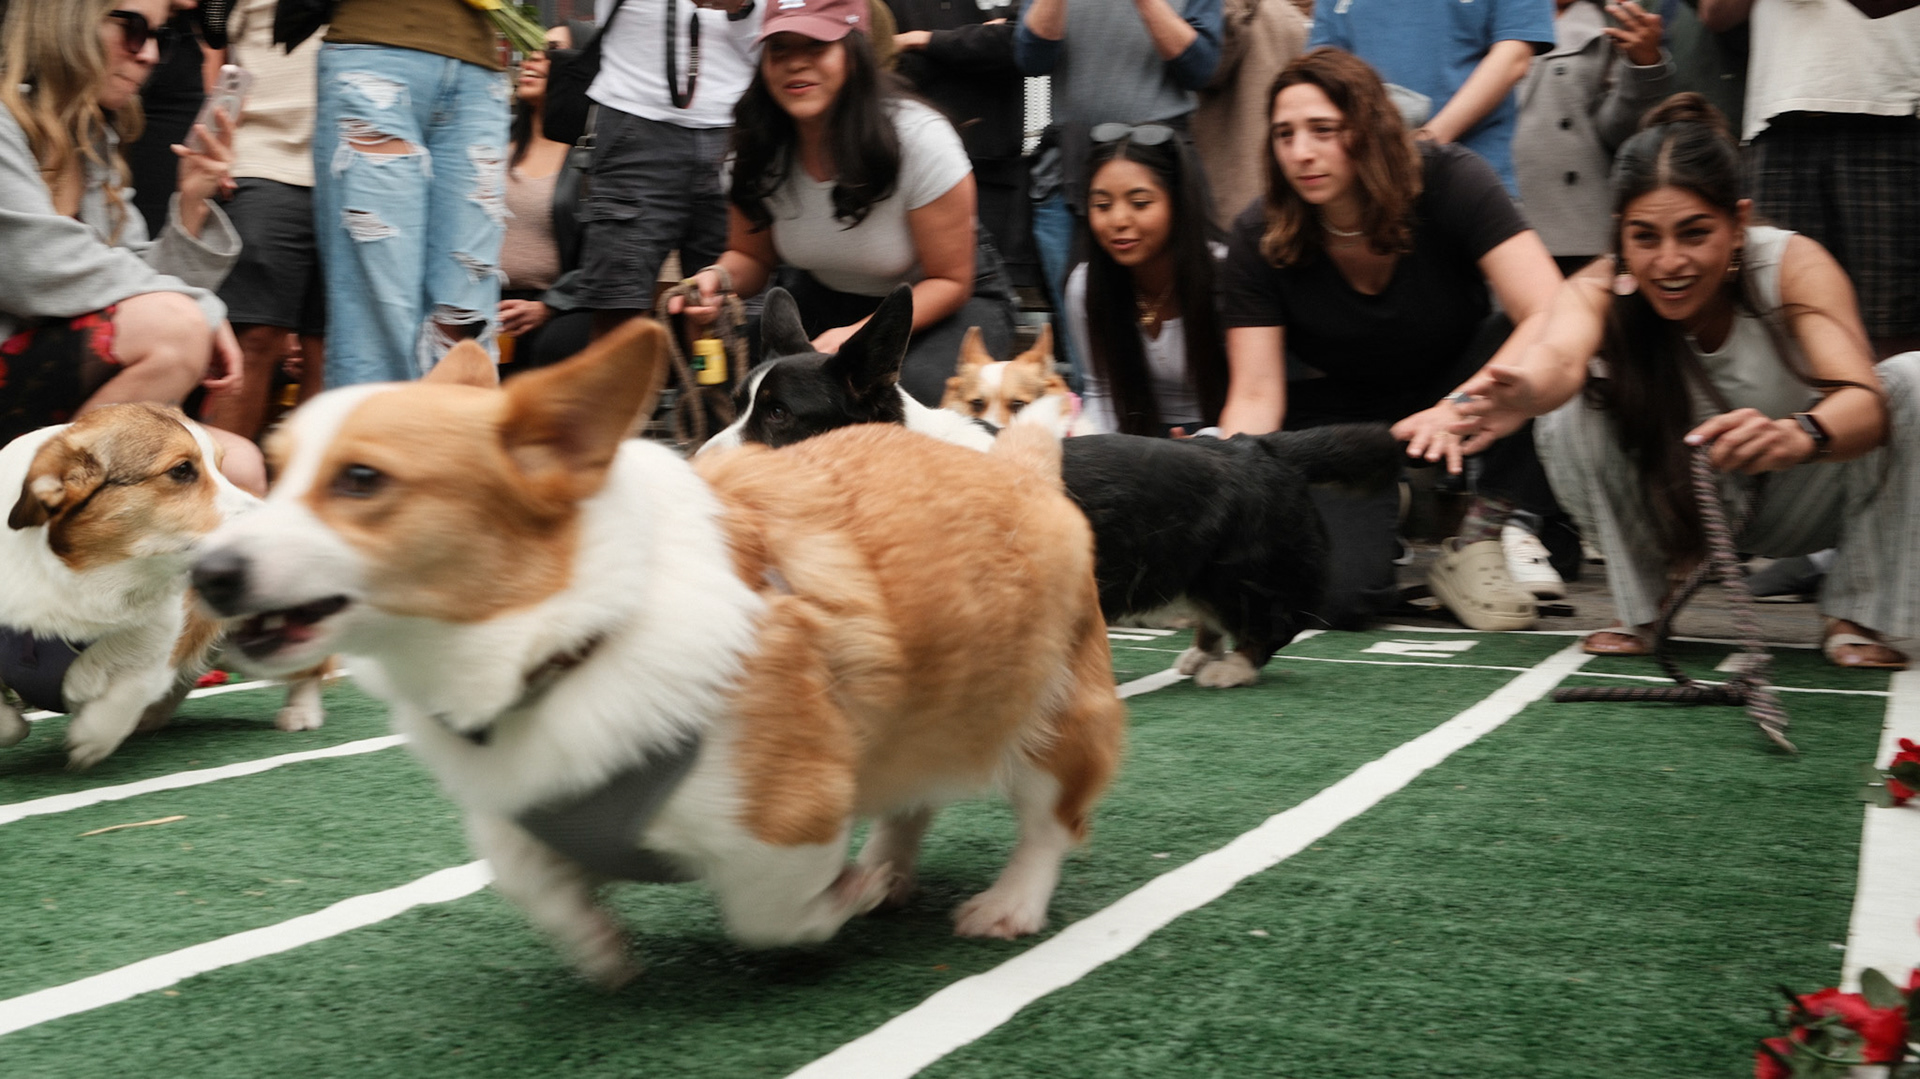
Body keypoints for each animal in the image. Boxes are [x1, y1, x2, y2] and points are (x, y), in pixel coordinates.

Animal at [0, 404, 327, 768]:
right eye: (182, 470)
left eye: (220, 464)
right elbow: (6, 724)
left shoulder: (155, 647)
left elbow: (123, 699)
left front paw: (90, 740)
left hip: (261, 647)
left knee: (313, 666)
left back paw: (300, 711)